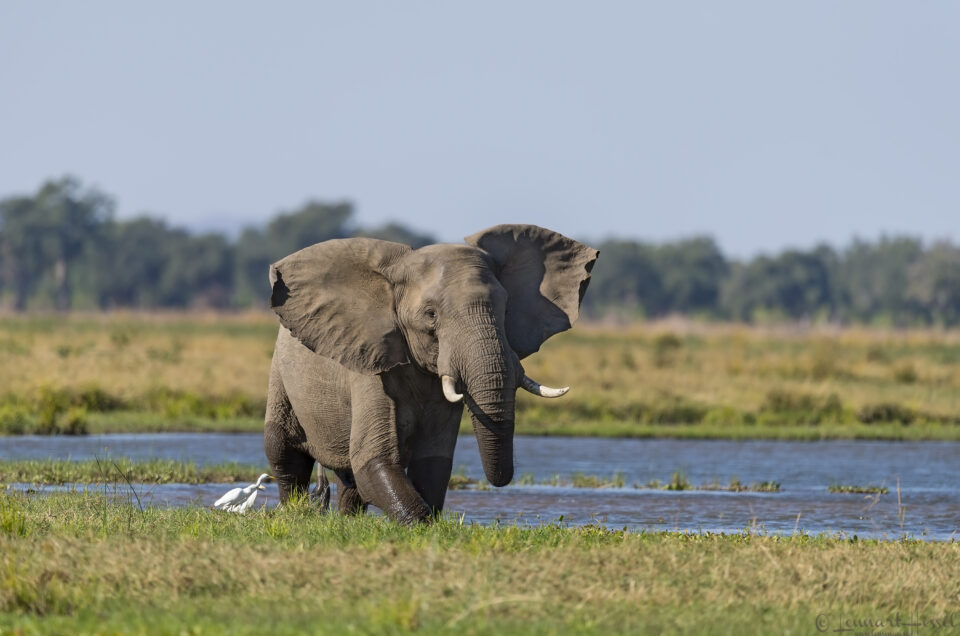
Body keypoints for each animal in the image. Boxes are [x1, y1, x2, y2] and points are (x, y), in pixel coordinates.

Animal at [263, 224, 598, 523]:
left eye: (505, 310)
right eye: (431, 315)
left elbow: (433, 463)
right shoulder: (370, 367)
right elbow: (375, 459)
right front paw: (421, 524)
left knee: (349, 479)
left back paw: (347, 522)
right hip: (280, 373)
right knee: (285, 453)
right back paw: (293, 514)